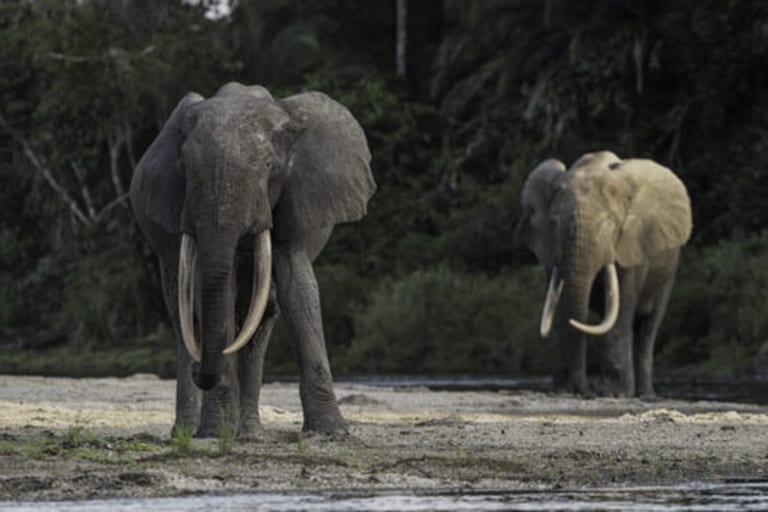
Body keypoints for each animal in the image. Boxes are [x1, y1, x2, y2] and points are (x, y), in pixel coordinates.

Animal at [129, 82, 376, 437]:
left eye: (269, 168)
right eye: (185, 169)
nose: (200, 369)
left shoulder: (294, 198)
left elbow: (297, 287)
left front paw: (330, 433)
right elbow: (211, 294)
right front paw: (215, 433)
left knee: (260, 317)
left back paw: (249, 433)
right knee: (183, 314)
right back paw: (190, 432)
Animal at [517, 151, 692, 397]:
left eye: (609, 224)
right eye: (555, 223)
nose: (585, 390)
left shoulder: (631, 245)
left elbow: (621, 312)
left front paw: (613, 392)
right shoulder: (551, 251)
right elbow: (559, 312)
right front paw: (563, 390)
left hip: (668, 271)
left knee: (647, 328)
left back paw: (645, 395)